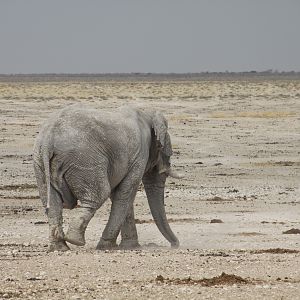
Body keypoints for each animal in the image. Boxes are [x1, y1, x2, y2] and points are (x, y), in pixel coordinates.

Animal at [33, 103, 183, 251]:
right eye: (165, 152)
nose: (175, 245)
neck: (147, 114)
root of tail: (48, 139)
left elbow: (120, 195)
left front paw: (130, 246)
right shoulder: (140, 155)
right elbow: (125, 193)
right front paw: (108, 246)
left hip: (40, 162)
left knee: (52, 203)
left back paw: (60, 247)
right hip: (85, 161)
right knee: (99, 195)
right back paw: (75, 240)